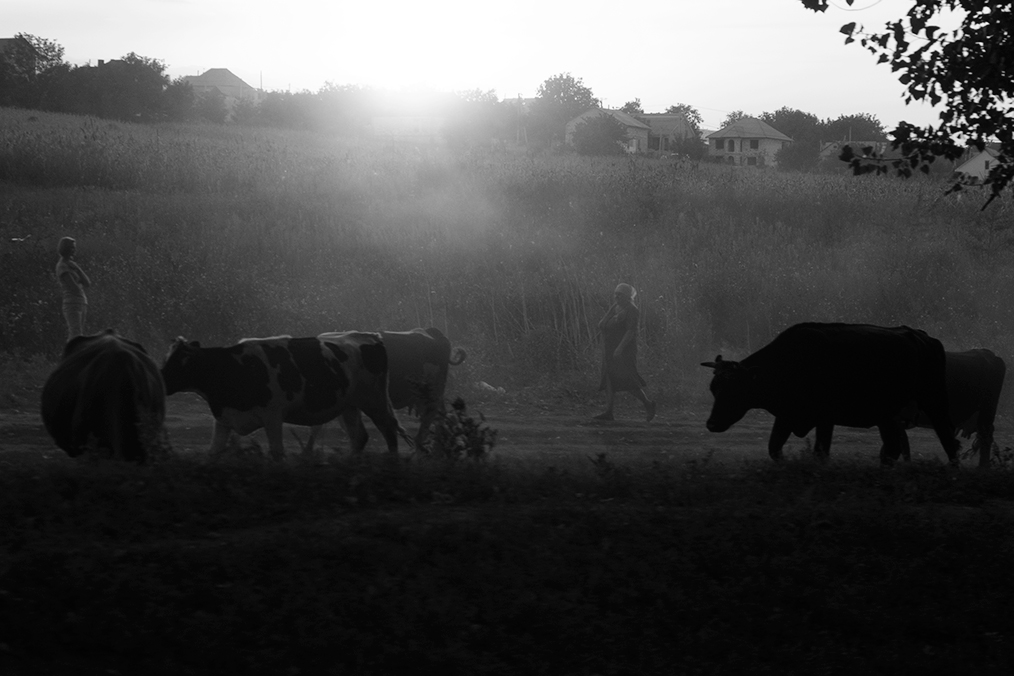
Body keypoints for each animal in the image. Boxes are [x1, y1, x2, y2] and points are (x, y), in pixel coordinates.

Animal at [160, 332, 405, 460]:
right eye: (167, 358)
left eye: (179, 363)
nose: (160, 380)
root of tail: (368, 336)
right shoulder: (224, 418)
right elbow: (213, 452)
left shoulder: (272, 415)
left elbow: (277, 452)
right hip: (349, 406)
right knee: (359, 437)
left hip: (374, 401)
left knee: (389, 432)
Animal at [701, 322, 961, 466]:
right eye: (714, 389)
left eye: (735, 390)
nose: (712, 424)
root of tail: (921, 337)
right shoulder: (786, 416)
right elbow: (774, 448)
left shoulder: (825, 418)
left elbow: (820, 453)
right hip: (887, 416)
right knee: (892, 449)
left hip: (935, 402)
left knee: (948, 439)